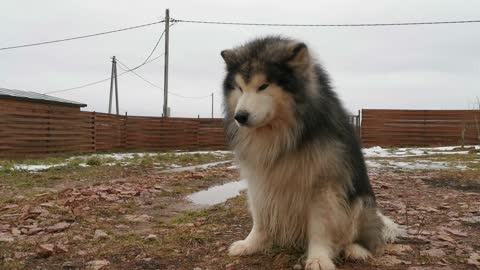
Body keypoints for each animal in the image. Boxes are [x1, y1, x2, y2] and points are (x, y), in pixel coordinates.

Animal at [221, 36, 402, 270]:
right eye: (240, 88)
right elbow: (259, 219)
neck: (283, 134)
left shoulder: (323, 186)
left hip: (360, 203)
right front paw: (250, 244)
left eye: (263, 86)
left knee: (361, 236)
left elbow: (320, 227)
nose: (240, 116)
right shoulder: (259, 181)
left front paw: (318, 258)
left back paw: (355, 249)